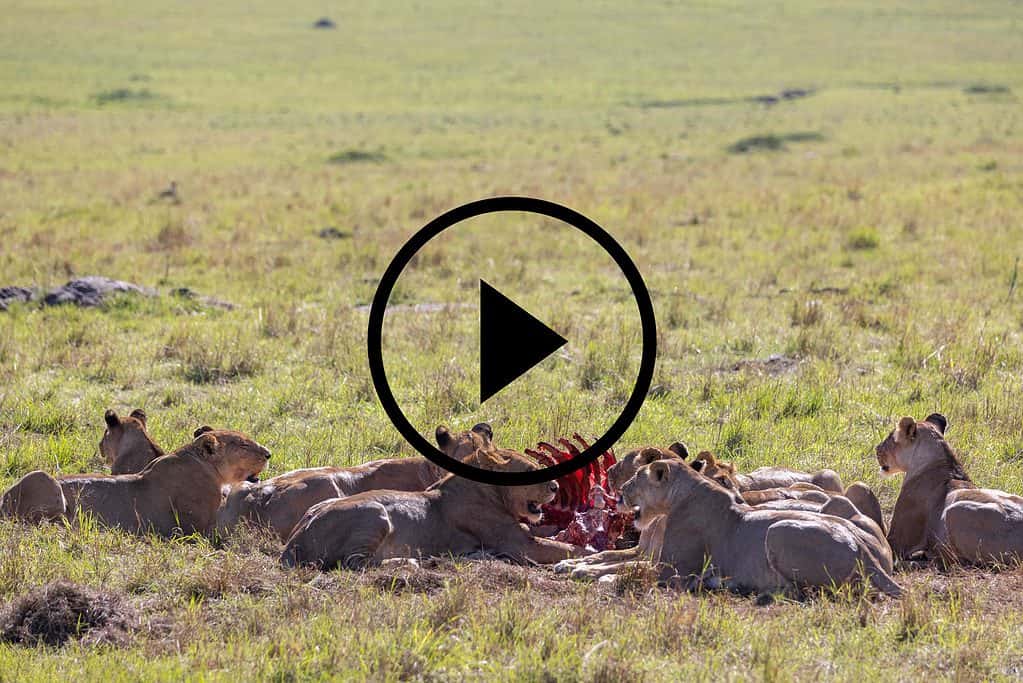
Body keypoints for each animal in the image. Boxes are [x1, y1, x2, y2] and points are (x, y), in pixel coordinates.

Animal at [280, 443, 585, 564]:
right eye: (529, 470)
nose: (556, 486)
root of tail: (295, 541)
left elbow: (548, 532)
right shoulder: (518, 545)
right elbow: (569, 549)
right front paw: (589, 552)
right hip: (375, 512)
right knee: (356, 563)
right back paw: (412, 561)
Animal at [605, 458, 904, 597]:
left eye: (635, 477)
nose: (619, 493)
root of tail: (865, 551)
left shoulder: (673, 572)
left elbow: (631, 571)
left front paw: (605, 577)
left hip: (778, 531)